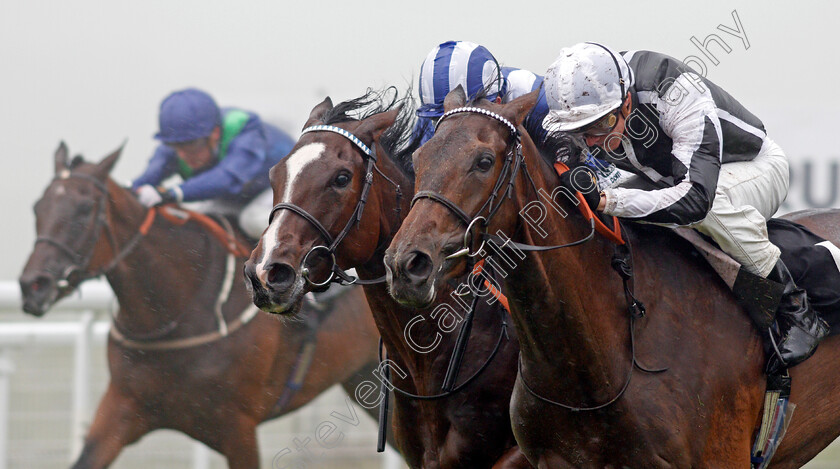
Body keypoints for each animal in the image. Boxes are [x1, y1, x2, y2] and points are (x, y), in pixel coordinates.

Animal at [19, 143, 380, 468]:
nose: (32, 285)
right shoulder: (122, 406)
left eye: (84, 209)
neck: (175, 309)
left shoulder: (239, 426)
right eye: (37, 208)